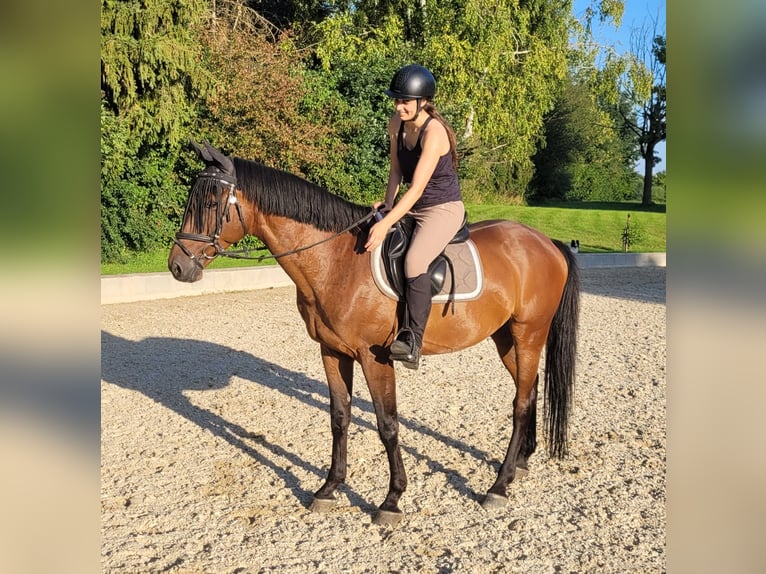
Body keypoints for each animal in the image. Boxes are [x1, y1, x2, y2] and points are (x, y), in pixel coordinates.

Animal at [168, 141, 580, 525]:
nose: (177, 266)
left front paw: (392, 499)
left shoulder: (375, 356)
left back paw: (499, 484)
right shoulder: (332, 352)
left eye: (210, 202)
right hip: (506, 338)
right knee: (529, 389)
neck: (336, 261)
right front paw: (329, 488)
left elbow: (387, 424)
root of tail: (545, 242)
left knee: (520, 403)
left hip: (529, 333)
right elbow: (339, 417)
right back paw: (521, 462)